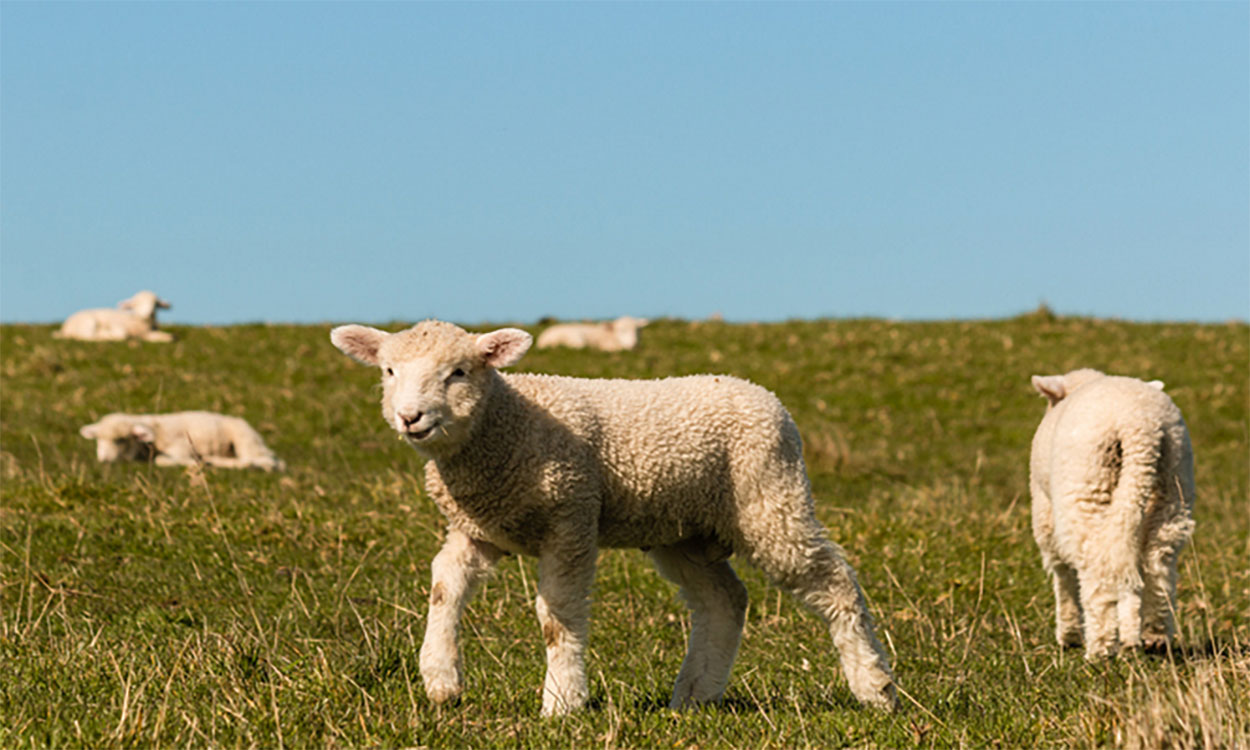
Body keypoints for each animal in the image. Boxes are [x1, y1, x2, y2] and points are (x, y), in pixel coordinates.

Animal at [332, 317, 900, 715]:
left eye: (458, 373)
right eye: (388, 372)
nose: (410, 417)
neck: (506, 426)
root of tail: (761, 392)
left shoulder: (571, 518)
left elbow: (556, 616)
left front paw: (562, 703)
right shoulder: (476, 529)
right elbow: (443, 587)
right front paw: (441, 680)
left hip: (770, 501)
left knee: (835, 583)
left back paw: (876, 687)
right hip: (683, 531)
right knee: (724, 600)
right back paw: (695, 694)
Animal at [1030, 367, 1195, 655]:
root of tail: (1139, 427)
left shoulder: (1044, 512)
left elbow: (1062, 573)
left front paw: (1068, 634)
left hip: (1086, 487)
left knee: (1098, 569)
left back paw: (1100, 647)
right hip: (1173, 486)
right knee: (1155, 563)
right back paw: (1152, 636)